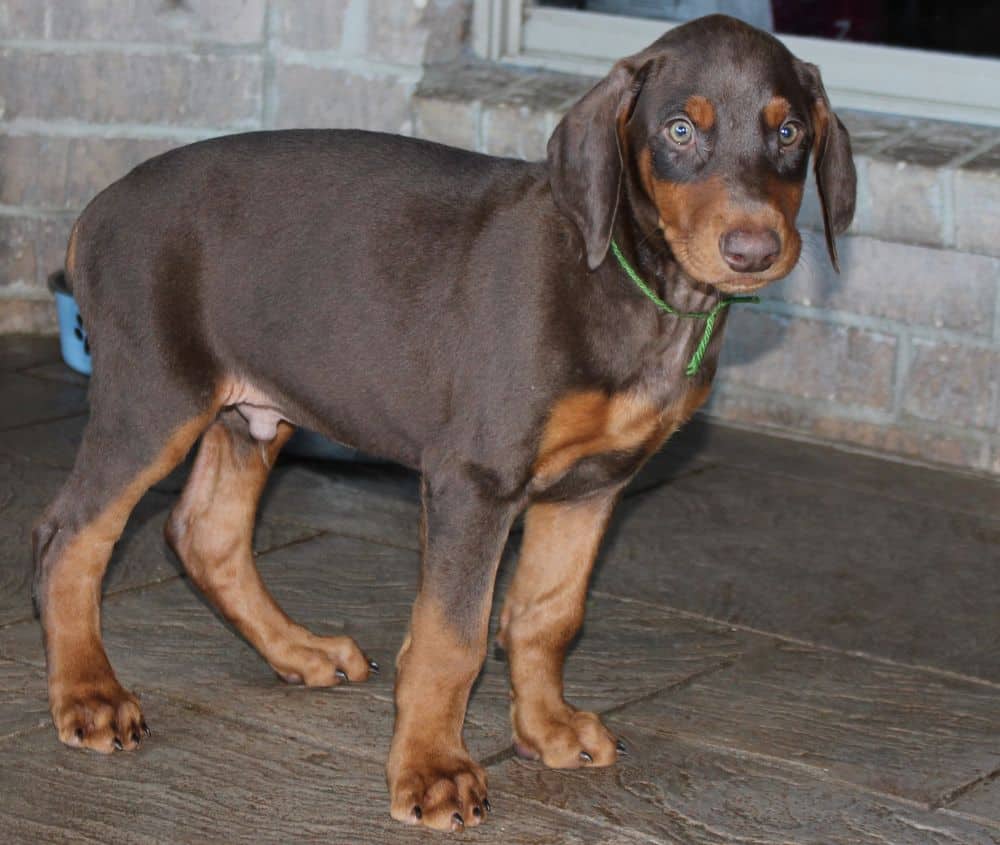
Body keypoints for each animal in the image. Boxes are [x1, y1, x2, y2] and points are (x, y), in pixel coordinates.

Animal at [35, 13, 856, 832]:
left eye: (789, 132)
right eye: (680, 129)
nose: (753, 250)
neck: (637, 284)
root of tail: (95, 210)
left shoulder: (593, 485)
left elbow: (548, 614)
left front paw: (546, 730)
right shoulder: (475, 480)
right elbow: (451, 638)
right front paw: (433, 769)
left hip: (252, 410)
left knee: (204, 533)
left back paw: (298, 651)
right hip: (154, 398)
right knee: (70, 535)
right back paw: (90, 696)